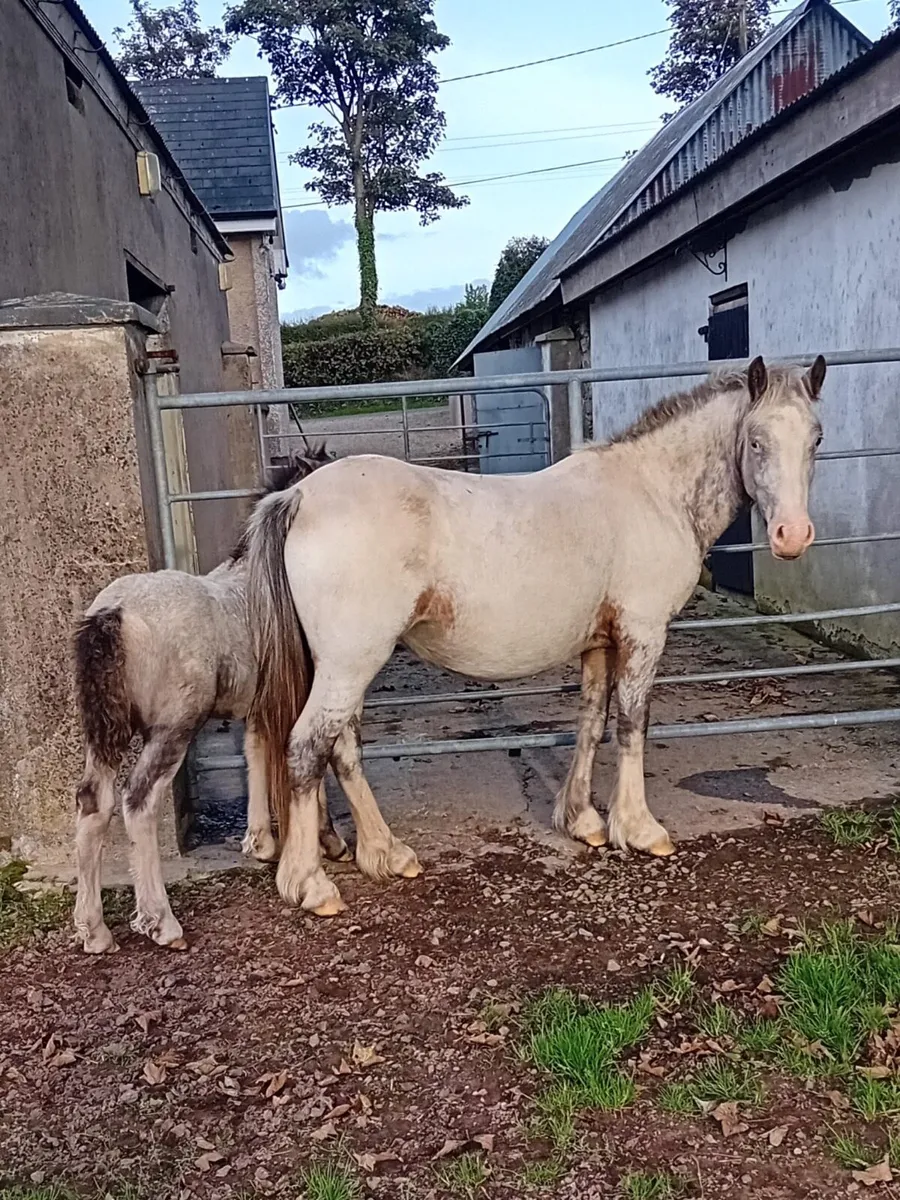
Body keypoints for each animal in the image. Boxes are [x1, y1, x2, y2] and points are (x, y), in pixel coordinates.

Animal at [72, 446, 350, 955]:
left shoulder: (259, 707)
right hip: (172, 729)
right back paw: (162, 923)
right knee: (138, 802)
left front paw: (260, 842)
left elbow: (256, 755)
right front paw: (327, 841)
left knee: (92, 804)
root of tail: (112, 614)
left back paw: (95, 930)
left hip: (103, 734)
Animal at [243, 356, 826, 917]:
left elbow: (592, 720)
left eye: (816, 438)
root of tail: (298, 496)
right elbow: (632, 723)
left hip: (341, 666)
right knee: (306, 749)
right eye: (756, 440)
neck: (652, 492)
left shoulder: (600, 642)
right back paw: (310, 884)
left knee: (342, 749)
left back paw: (386, 853)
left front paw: (582, 821)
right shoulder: (642, 632)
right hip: (350, 663)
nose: (792, 536)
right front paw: (639, 829)